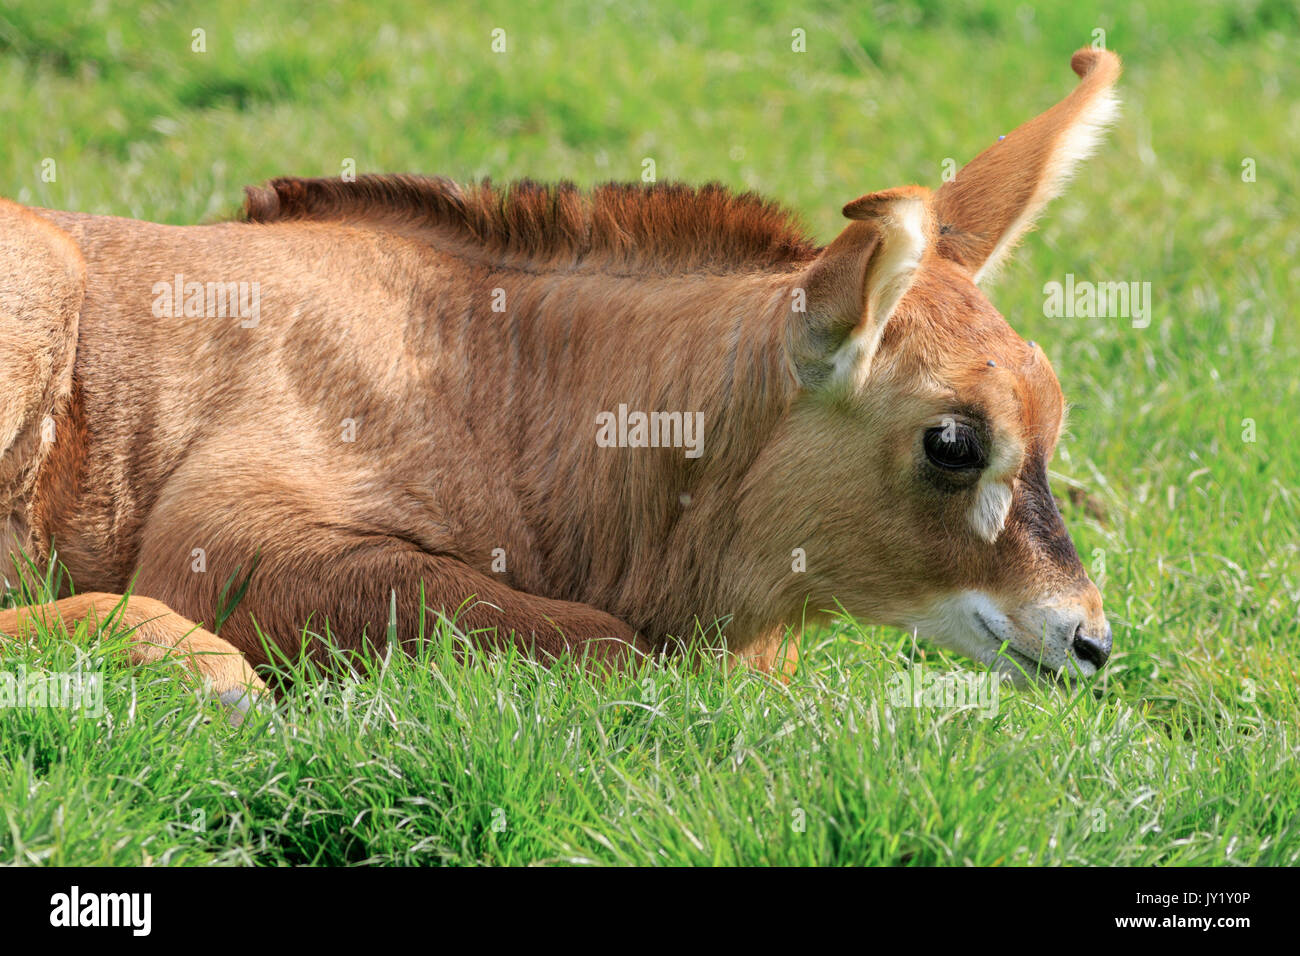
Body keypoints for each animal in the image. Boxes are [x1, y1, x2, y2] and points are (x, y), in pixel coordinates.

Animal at [0, 49, 1120, 710]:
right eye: (952, 438)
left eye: (1052, 419)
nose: (1089, 640)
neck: (495, 376)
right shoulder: (220, 536)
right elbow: (607, 639)